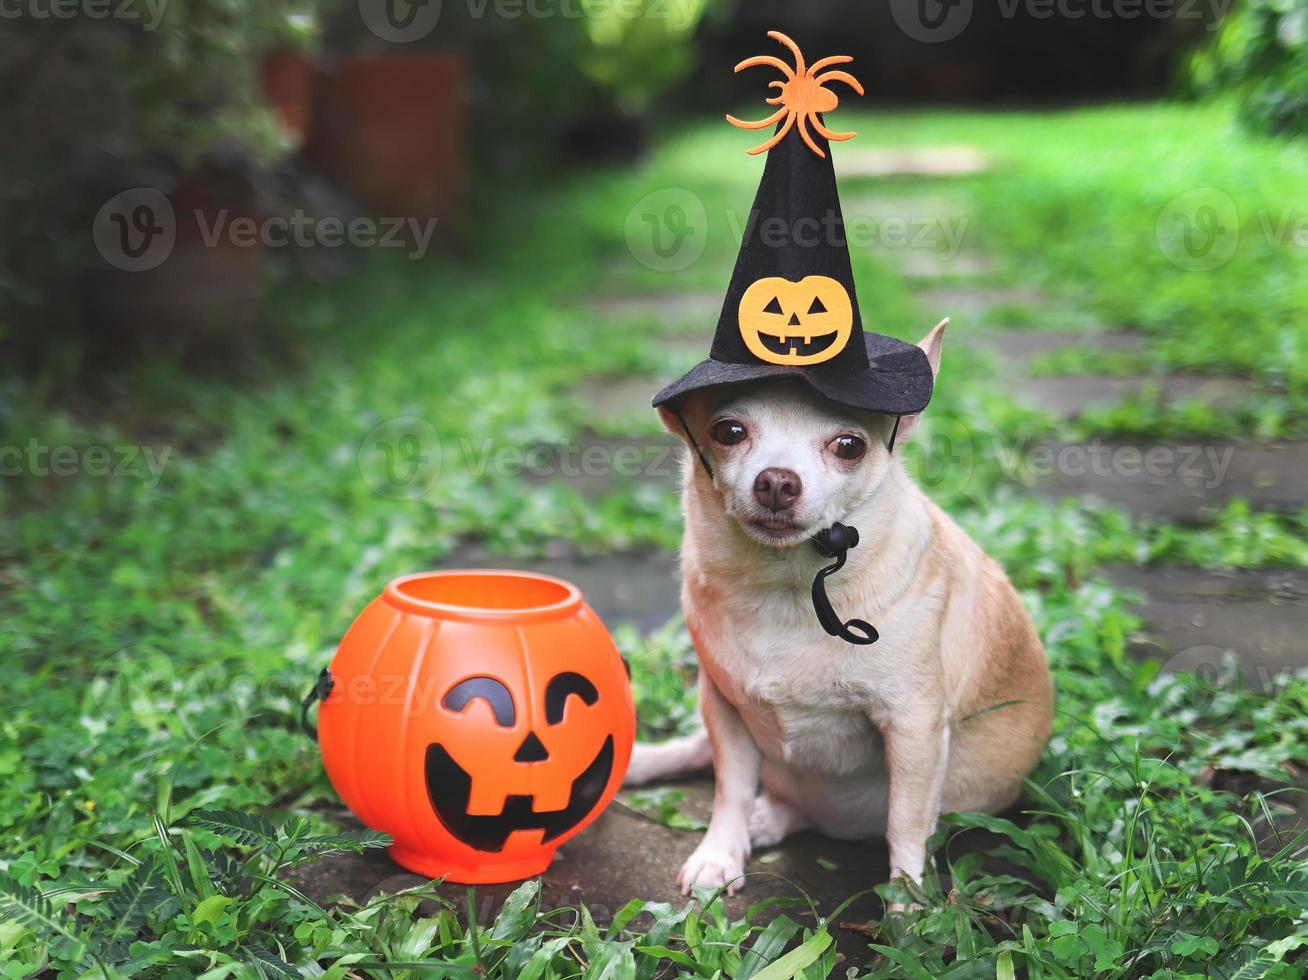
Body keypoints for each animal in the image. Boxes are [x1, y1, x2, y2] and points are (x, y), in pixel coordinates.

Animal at [622, 323, 1051, 894]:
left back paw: (770, 818)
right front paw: (717, 854)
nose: (777, 480)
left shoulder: (912, 728)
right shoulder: (724, 707)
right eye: (729, 432)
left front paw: (909, 905)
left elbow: (906, 824)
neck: (785, 586)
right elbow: (729, 786)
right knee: (704, 755)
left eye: (849, 446)